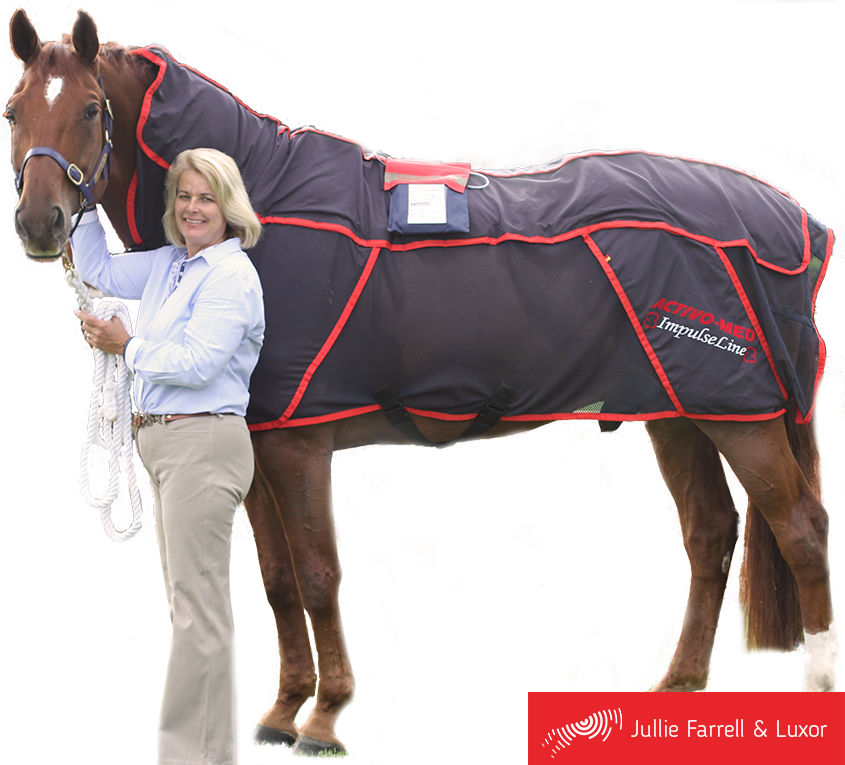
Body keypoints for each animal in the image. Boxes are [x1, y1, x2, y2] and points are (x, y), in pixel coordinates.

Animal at [6, 8, 840, 758]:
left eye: (90, 108)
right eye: (16, 112)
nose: (40, 225)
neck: (258, 212)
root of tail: (789, 216)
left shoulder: (298, 443)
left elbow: (317, 575)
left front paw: (324, 717)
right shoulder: (257, 440)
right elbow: (277, 580)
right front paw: (281, 711)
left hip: (740, 415)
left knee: (800, 530)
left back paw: (814, 684)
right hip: (680, 410)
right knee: (711, 534)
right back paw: (677, 688)